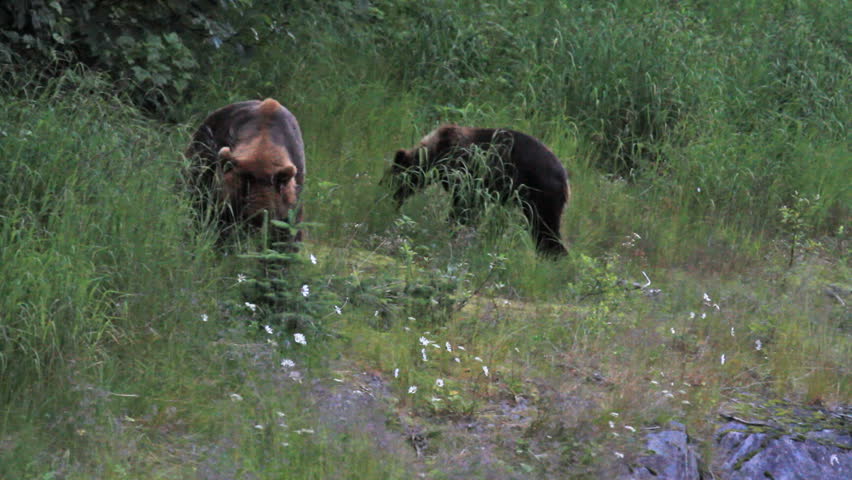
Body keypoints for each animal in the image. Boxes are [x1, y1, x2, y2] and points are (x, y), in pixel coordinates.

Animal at [388, 125, 570, 256]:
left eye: (393, 181)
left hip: (539, 192)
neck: (436, 154)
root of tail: (565, 177)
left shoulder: (464, 170)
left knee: (545, 226)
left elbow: (463, 206)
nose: (391, 200)